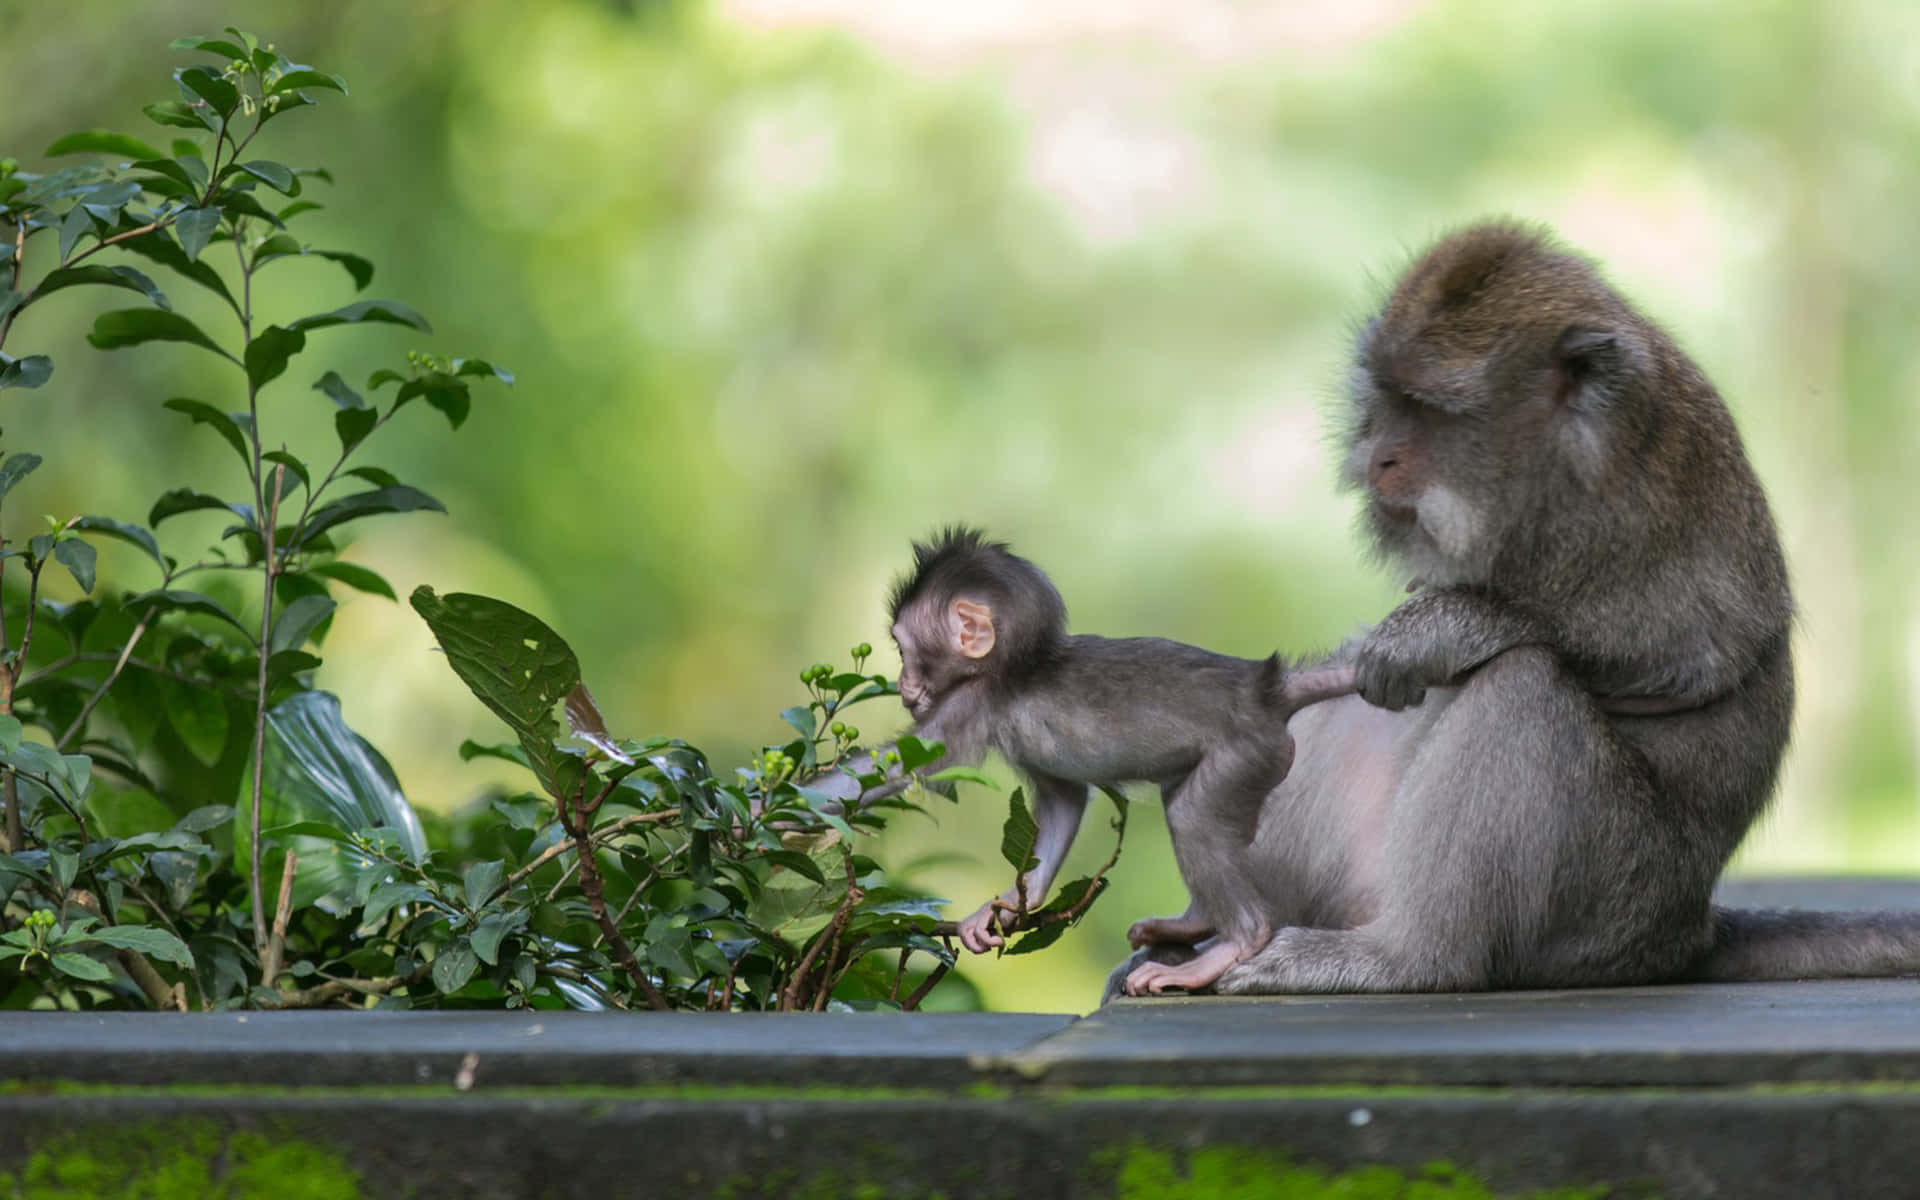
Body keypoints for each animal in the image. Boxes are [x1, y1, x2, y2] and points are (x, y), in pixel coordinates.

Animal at [871, 526, 1351, 990]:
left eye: (902, 650)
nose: (903, 685)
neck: (1019, 666)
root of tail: (1265, 691)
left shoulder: (969, 703)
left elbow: (898, 766)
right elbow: (1064, 800)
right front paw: (1010, 904)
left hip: (1243, 754)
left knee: (1193, 816)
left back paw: (1234, 943)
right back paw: (1193, 922)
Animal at [1113, 219, 1920, 998]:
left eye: (1430, 411)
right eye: (1388, 400)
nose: (1378, 457)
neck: (1556, 464)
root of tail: (1685, 931)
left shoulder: (1634, 513)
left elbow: (1686, 662)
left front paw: (1446, 629)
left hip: (1608, 902)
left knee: (1523, 684)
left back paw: (1407, 958)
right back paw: (1211, 927)